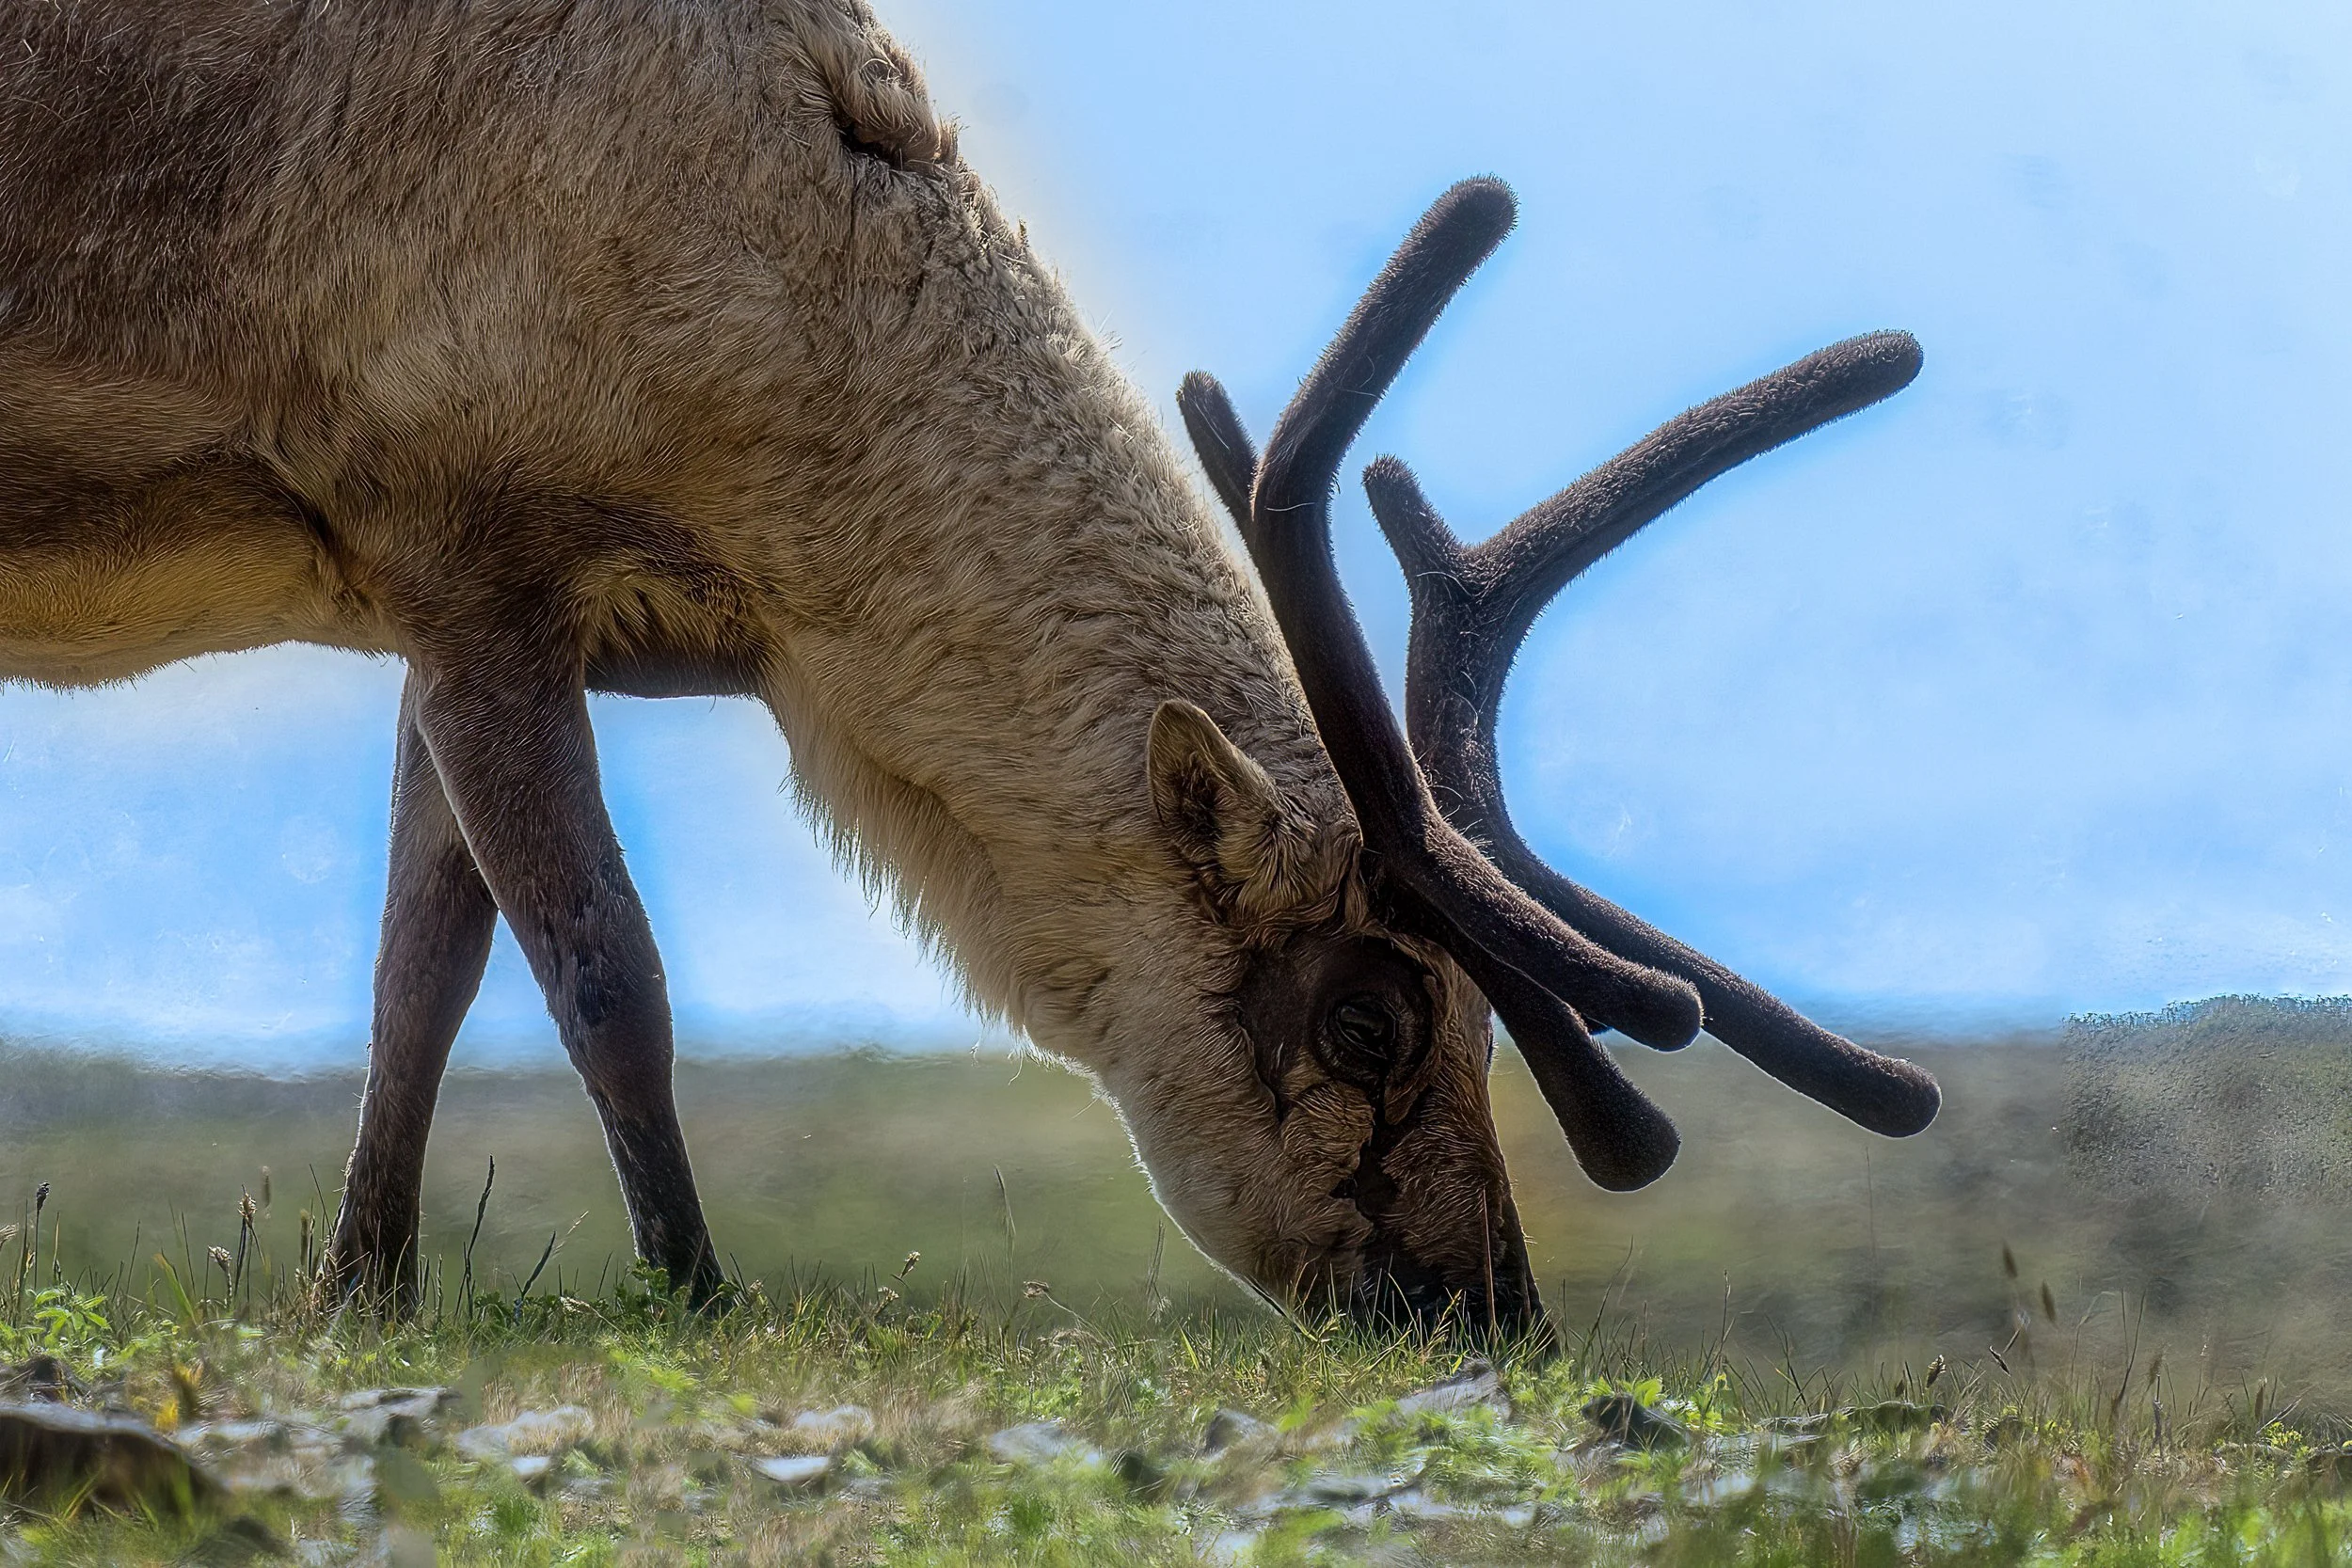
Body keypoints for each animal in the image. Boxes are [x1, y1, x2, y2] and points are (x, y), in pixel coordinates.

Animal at [0, 0, 1938, 1335]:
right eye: (1370, 1016)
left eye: (1479, 1017)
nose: (1499, 1311)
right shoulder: (460, 547)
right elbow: (605, 972)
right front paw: (694, 1290)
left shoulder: (474, 608)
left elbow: (425, 966)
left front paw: (362, 1288)